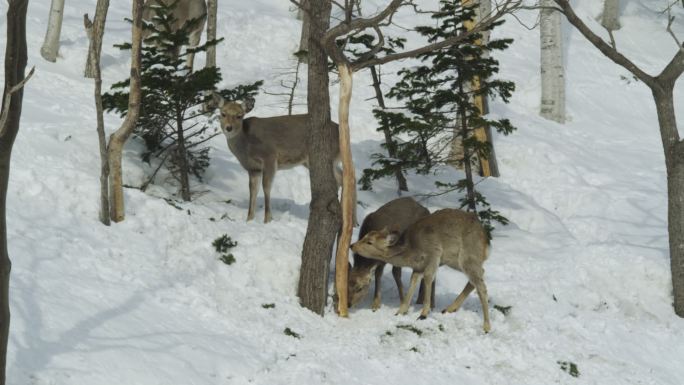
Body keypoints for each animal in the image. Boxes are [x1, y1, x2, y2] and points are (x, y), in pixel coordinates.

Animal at [212, 93, 352, 224]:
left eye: (239, 116)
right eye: (223, 114)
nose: (228, 127)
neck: (246, 147)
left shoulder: (270, 157)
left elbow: (266, 187)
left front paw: (267, 219)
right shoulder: (253, 168)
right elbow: (253, 191)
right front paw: (249, 220)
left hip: (327, 156)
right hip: (313, 161)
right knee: (342, 177)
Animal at [352, 208, 492, 332]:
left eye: (369, 242)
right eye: (365, 236)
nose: (352, 245)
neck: (412, 251)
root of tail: (486, 241)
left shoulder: (434, 253)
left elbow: (428, 278)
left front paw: (423, 313)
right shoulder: (418, 267)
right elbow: (413, 281)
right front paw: (400, 311)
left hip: (468, 255)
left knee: (481, 285)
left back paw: (486, 326)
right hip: (455, 260)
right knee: (479, 276)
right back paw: (448, 309)